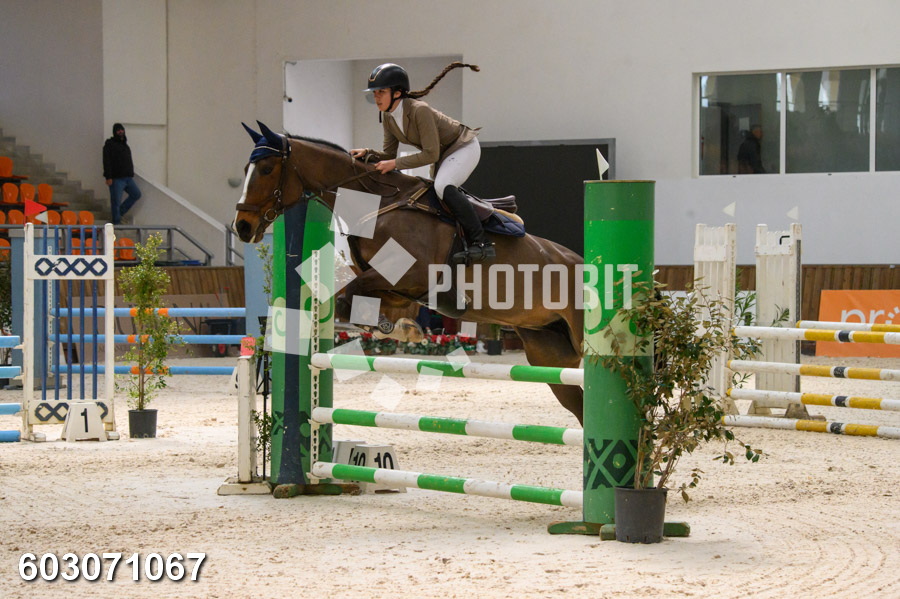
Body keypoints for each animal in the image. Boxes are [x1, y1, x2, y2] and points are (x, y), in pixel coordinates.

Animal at [233, 122, 586, 424]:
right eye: (246, 170)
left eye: (267, 169)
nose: (242, 227)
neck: (378, 206)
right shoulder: (398, 290)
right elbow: (360, 304)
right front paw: (398, 330)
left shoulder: (412, 276)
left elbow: (350, 296)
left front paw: (400, 332)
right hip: (549, 351)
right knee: (580, 404)